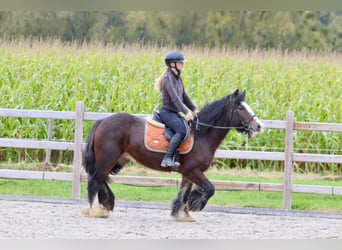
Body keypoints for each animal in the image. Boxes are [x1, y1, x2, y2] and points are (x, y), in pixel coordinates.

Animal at [82, 89, 264, 222]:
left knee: (100, 179)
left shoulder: (188, 173)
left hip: (117, 160)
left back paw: (105, 205)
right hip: (107, 160)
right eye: (240, 108)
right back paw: (95, 210)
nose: (259, 126)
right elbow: (209, 189)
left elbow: (184, 193)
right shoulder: (193, 171)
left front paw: (183, 214)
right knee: (95, 181)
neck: (201, 135)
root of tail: (103, 121)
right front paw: (195, 204)